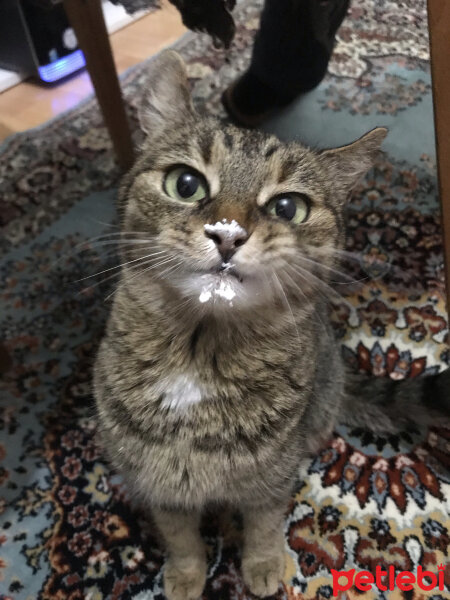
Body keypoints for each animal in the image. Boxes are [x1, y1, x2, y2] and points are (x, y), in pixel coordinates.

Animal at [93, 51, 448, 600]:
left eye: (288, 207)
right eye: (185, 184)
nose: (228, 233)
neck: (198, 353)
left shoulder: (270, 478)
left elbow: (263, 523)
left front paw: (262, 565)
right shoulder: (155, 480)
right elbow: (179, 535)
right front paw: (186, 574)